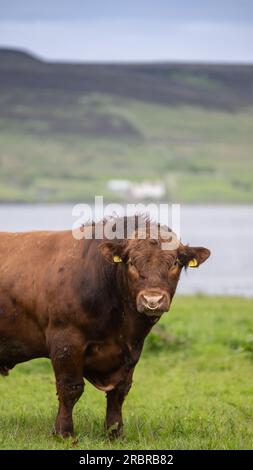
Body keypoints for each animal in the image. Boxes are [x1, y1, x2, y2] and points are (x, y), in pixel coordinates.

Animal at [0, 218, 210, 438]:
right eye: (131, 262)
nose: (152, 300)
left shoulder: (132, 349)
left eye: (175, 263)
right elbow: (70, 388)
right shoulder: (65, 341)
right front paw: (64, 432)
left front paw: (115, 432)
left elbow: (119, 392)